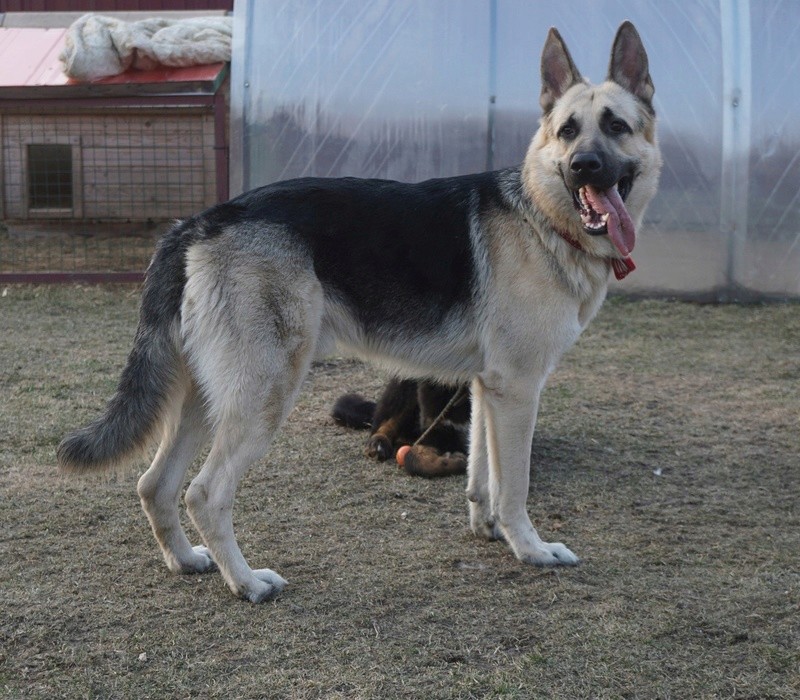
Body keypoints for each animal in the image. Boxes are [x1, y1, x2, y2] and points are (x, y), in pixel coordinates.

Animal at [57, 21, 664, 600]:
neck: (542, 216)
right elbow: (514, 484)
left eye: (616, 126)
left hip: (204, 398)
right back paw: (248, 584)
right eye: (567, 131)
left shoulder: (486, 389)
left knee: (154, 485)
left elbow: (482, 475)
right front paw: (531, 549)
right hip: (263, 395)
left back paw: (186, 561)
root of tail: (198, 222)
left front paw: (489, 529)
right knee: (204, 494)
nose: (584, 166)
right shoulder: (517, 390)